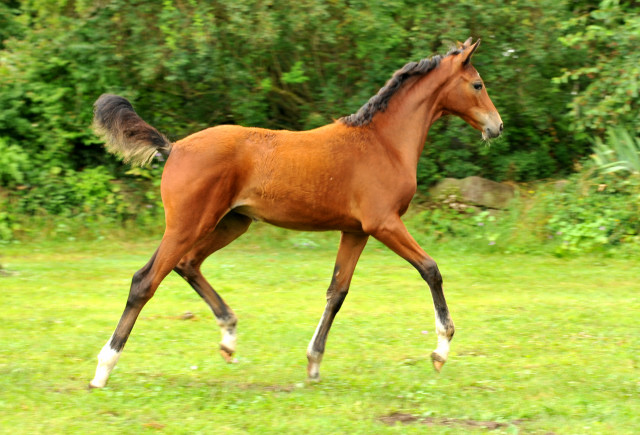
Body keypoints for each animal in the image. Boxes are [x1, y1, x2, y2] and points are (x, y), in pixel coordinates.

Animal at [90, 39, 502, 390]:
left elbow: (337, 292)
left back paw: (229, 337)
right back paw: (103, 369)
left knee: (188, 263)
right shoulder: (384, 223)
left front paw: (314, 362)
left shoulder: (356, 231)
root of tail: (173, 148)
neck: (383, 142)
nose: (496, 126)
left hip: (231, 223)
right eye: (477, 84)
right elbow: (430, 269)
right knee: (145, 281)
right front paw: (441, 349)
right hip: (188, 224)